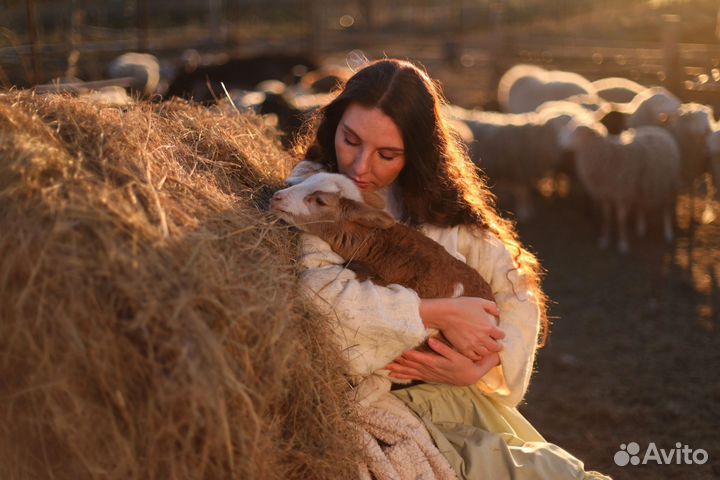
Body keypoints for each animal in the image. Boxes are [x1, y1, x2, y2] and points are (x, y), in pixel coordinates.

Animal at [560, 120, 684, 253]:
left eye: (577, 133)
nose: (561, 142)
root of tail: (657, 128)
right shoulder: (606, 193)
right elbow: (606, 217)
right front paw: (604, 240)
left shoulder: (622, 193)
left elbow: (621, 219)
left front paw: (623, 244)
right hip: (641, 184)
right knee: (641, 204)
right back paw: (641, 229)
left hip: (668, 184)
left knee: (667, 209)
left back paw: (668, 234)